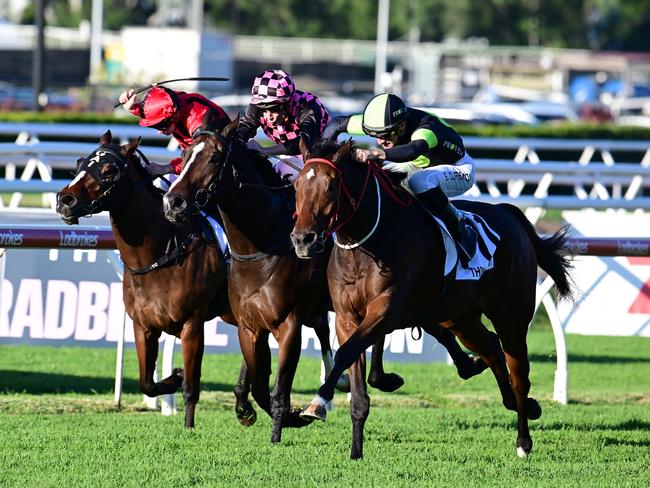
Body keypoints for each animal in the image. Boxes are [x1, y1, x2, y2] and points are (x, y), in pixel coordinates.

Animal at [54, 132, 256, 428]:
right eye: (80, 162)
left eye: (109, 170)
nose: (64, 200)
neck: (160, 256)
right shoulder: (143, 325)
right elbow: (146, 383)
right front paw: (175, 376)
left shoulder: (192, 324)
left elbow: (191, 388)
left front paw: (188, 427)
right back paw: (244, 404)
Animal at [159, 119, 488, 446]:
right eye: (185, 155)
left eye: (214, 158)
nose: (174, 202)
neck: (263, 245)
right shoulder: (249, 323)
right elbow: (258, 384)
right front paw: (268, 413)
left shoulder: (289, 324)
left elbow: (278, 389)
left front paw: (283, 426)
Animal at [290, 139, 572, 460]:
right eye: (297, 185)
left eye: (332, 186)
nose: (303, 240)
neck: (369, 243)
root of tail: (509, 214)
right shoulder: (348, 318)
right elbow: (355, 376)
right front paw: (355, 450)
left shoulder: (385, 311)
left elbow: (345, 353)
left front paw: (318, 403)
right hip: (461, 318)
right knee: (490, 347)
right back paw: (515, 399)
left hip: (510, 315)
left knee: (519, 372)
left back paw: (523, 441)